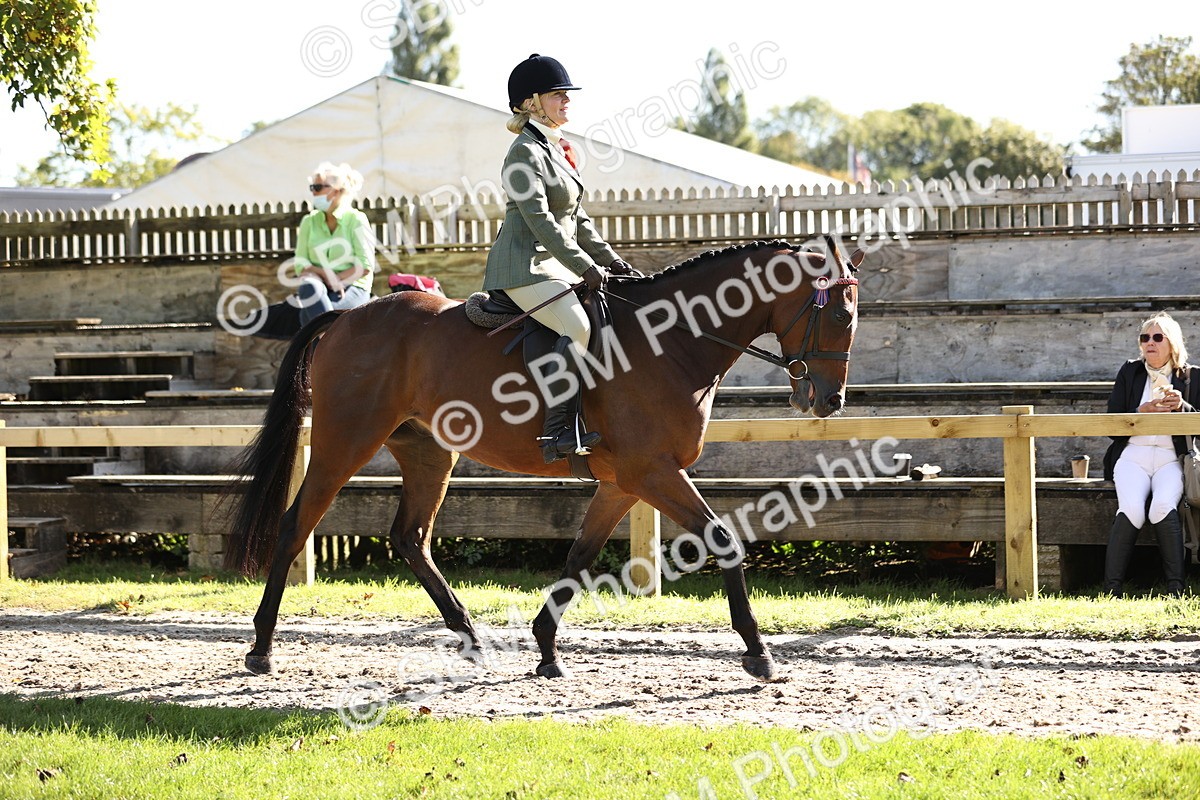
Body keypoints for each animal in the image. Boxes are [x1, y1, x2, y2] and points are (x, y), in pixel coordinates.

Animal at [224, 238, 863, 681]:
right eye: (840, 315)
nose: (828, 401)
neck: (670, 342)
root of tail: (351, 316)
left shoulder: (624, 483)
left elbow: (579, 557)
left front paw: (547, 648)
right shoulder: (652, 472)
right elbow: (723, 540)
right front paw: (758, 653)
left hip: (428, 453)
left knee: (410, 537)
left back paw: (470, 636)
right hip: (344, 443)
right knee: (295, 525)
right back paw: (261, 647)